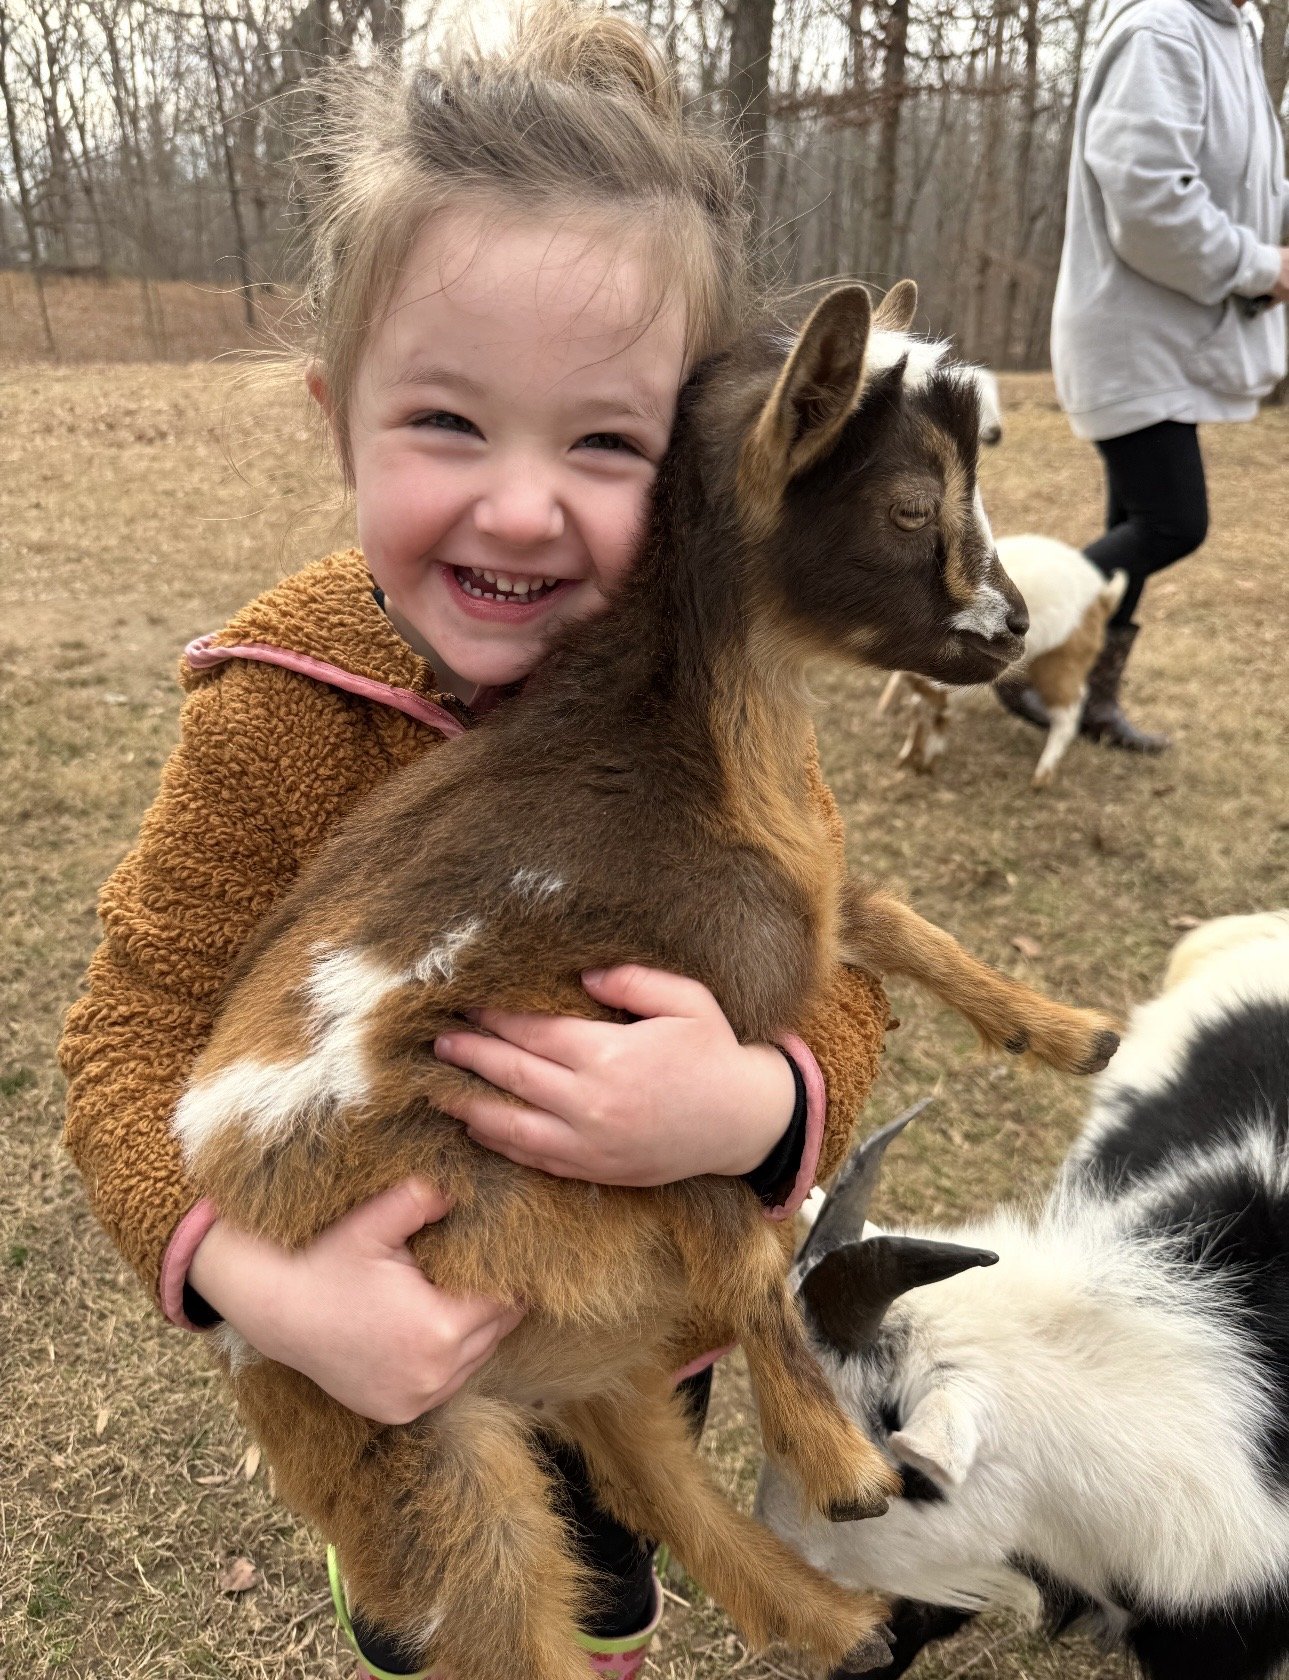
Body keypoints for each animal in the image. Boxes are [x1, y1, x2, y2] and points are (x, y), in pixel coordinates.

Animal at [878, 535, 1127, 788]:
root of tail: (1102, 597)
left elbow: (939, 716)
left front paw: (927, 765)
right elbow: (918, 710)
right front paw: (906, 759)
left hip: (1058, 666)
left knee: (1069, 712)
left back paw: (1041, 777)